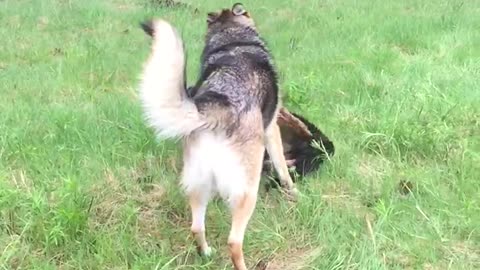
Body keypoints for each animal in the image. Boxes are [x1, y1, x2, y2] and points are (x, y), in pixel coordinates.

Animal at [138, 3, 296, 268]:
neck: (231, 38)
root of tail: (215, 110)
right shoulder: (271, 129)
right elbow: (282, 169)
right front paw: (295, 192)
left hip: (198, 184)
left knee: (195, 227)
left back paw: (206, 253)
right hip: (246, 191)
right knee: (234, 242)